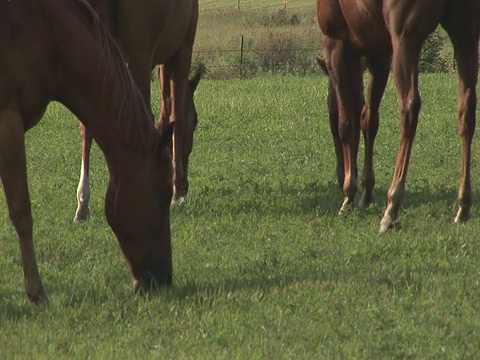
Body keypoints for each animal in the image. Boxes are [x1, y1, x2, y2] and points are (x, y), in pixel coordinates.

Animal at [0, 0, 175, 306]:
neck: (44, 29)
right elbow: (21, 212)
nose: (165, 278)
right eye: (164, 192)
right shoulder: (7, 122)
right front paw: (37, 293)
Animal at [74, 0, 202, 221]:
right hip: (140, 58)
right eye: (195, 121)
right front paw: (177, 193)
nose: (186, 186)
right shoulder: (180, 51)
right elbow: (176, 118)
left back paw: (83, 204)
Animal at [316, 0, 480, 232]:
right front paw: (366, 194)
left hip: (406, 39)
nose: (340, 174)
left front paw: (348, 195)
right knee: (467, 111)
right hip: (466, 32)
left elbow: (346, 124)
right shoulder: (379, 54)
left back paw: (391, 207)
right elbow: (368, 120)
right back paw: (463, 207)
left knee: (409, 108)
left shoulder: (336, 45)